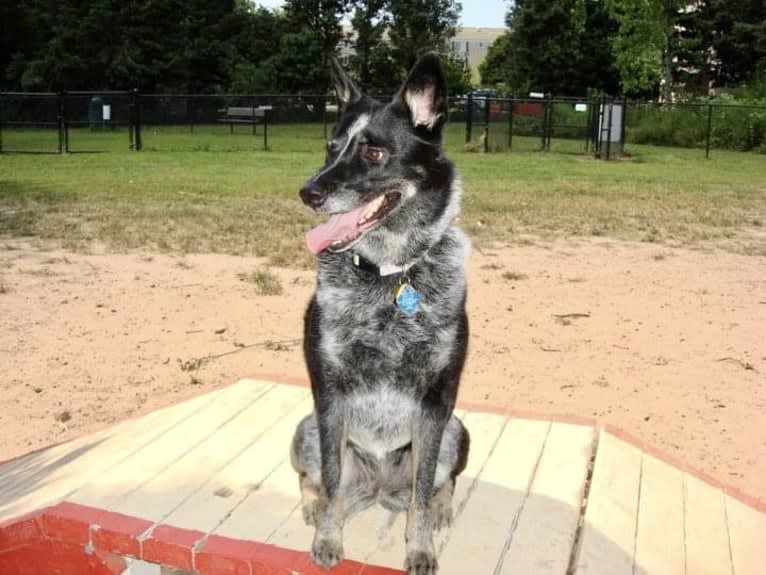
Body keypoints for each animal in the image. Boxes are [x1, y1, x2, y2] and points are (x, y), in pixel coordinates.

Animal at [292, 54, 472, 575]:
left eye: (373, 153)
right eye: (331, 148)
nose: (308, 192)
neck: (390, 275)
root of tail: (375, 491)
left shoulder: (436, 403)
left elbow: (422, 494)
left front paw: (420, 548)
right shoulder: (329, 396)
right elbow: (331, 482)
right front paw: (328, 537)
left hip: (456, 430)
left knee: (437, 485)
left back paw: (442, 508)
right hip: (306, 428)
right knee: (316, 481)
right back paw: (313, 506)